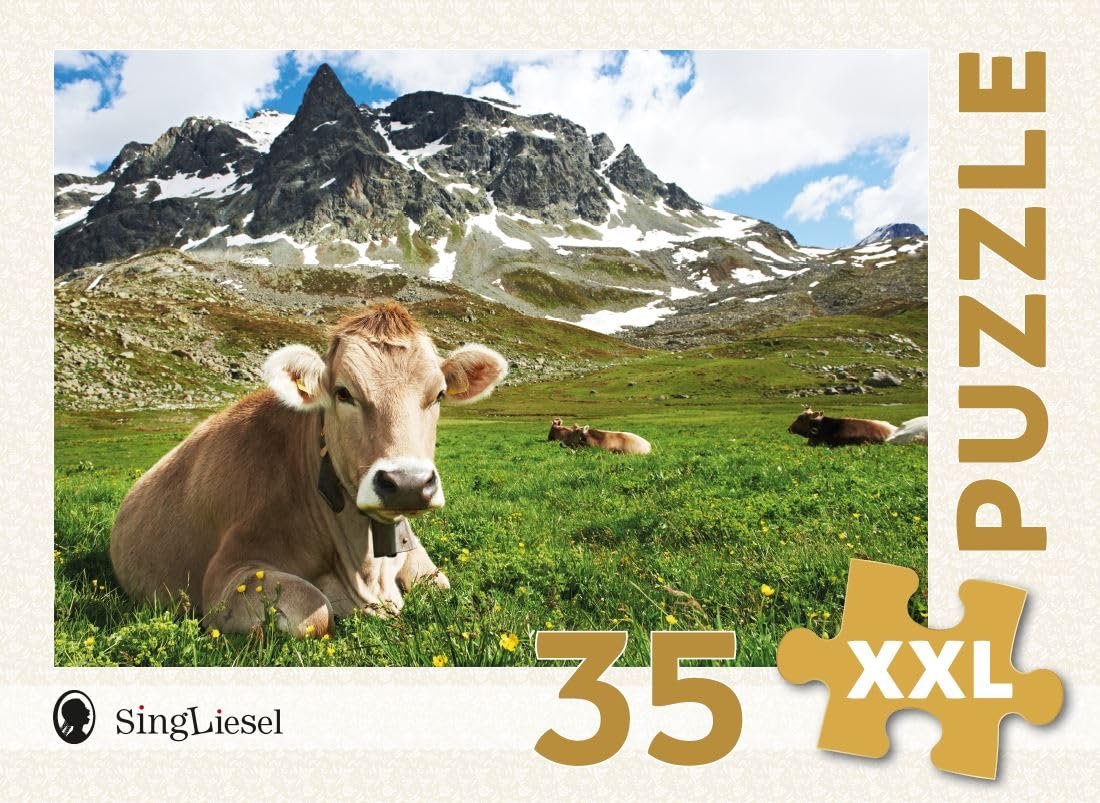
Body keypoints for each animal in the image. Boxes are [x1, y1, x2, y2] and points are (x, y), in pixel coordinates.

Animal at [109, 302, 508, 638]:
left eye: (439, 395)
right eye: (343, 393)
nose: (407, 483)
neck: (365, 570)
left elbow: (441, 584)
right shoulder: (225, 574)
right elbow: (316, 610)